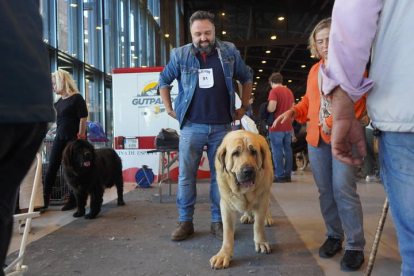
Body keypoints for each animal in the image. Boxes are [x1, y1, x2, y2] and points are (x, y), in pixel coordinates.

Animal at [210, 130, 274, 268]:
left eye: (253, 152)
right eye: (235, 153)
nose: (248, 170)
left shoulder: (262, 199)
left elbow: (258, 224)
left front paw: (261, 241)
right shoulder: (226, 206)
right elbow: (228, 232)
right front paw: (224, 254)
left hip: (267, 189)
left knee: (268, 204)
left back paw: (267, 217)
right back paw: (247, 215)